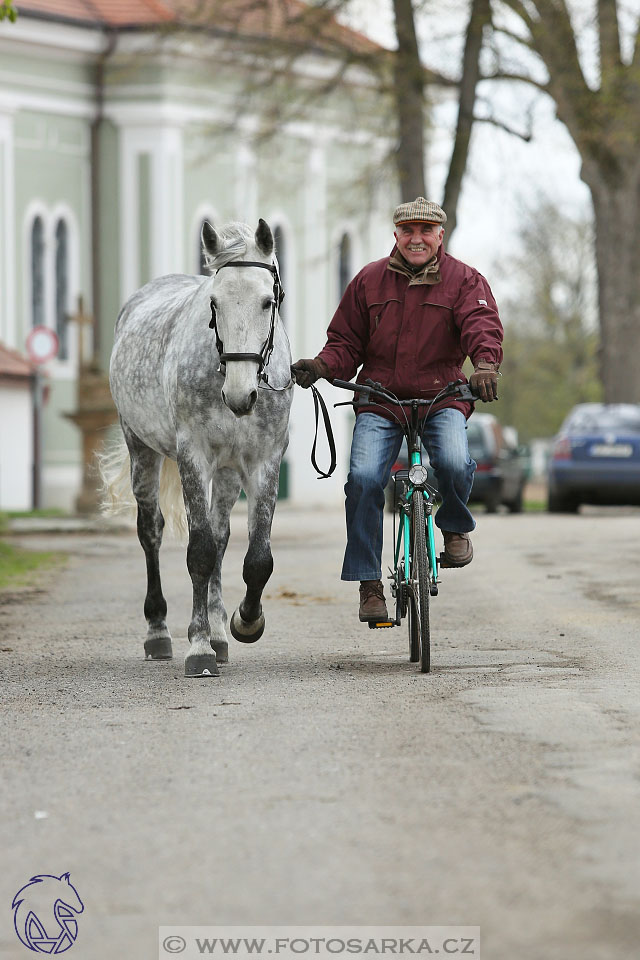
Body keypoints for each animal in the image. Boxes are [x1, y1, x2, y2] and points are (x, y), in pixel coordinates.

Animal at [108, 221, 292, 680]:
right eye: (214, 302)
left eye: (267, 301)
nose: (240, 396)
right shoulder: (193, 457)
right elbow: (201, 552)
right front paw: (199, 646)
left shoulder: (264, 463)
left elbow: (256, 558)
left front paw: (244, 622)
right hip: (141, 448)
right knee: (151, 531)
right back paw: (158, 631)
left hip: (226, 473)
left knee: (222, 534)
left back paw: (222, 634)